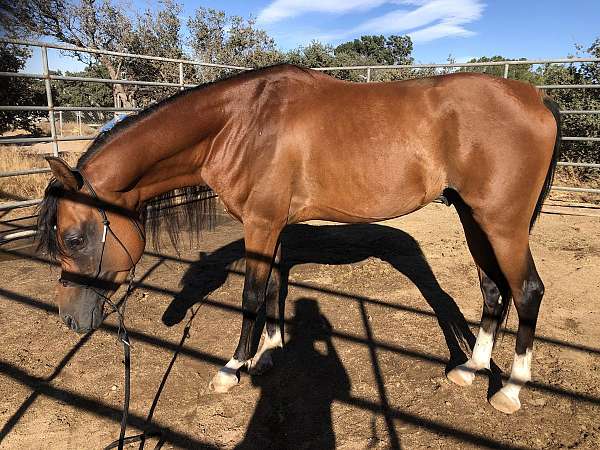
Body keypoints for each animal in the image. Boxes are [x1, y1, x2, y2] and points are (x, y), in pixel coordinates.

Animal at [37, 64, 560, 414]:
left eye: (74, 238)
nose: (68, 318)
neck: (240, 125)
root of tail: (535, 99)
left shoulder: (260, 224)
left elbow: (251, 293)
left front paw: (234, 368)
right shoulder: (271, 226)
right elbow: (273, 287)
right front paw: (269, 353)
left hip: (503, 223)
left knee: (527, 290)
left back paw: (510, 389)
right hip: (474, 217)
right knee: (492, 289)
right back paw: (470, 371)